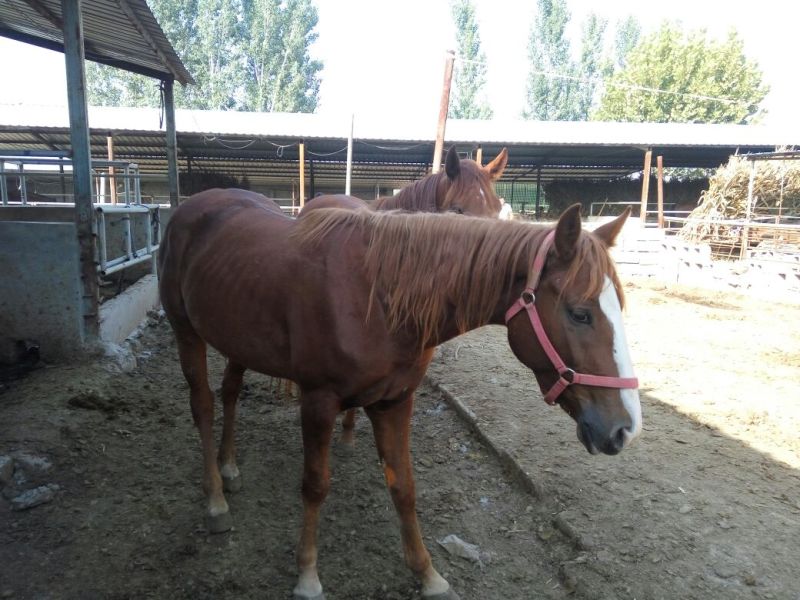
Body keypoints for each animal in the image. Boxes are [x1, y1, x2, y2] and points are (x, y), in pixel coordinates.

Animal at [159, 188, 641, 599]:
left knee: (230, 393)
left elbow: (404, 486)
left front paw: (428, 574)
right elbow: (315, 486)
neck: (378, 296)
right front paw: (308, 576)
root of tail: (193, 205)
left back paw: (229, 466)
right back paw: (216, 500)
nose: (623, 429)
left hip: (237, 339)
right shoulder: (318, 402)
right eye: (579, 314)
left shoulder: (395, 401)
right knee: (203, 406)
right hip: (187, 332)